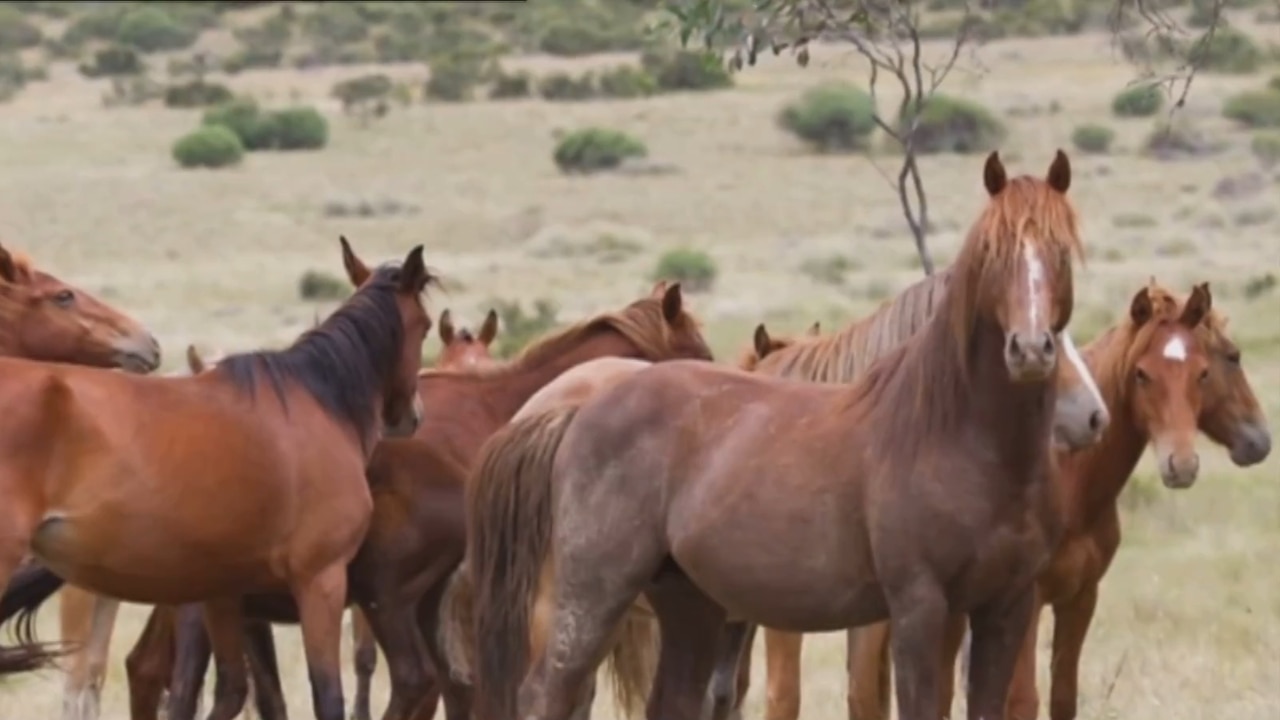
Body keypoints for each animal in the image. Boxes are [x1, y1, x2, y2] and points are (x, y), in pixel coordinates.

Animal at [0, 237, 435, 720]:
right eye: (427, 327)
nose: (413, 416)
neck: (319, 402)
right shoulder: (320, 581)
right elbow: (326, 696)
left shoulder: (223, 593)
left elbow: (230, 688)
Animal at [839, 278, 1269, 717]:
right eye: (1142, 374)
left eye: (1202, 372)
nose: (1180, 464)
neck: (1072, 480)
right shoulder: (1025, 601)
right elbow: (1022, 700)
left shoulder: (1079, 599)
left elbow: (1063, 697)